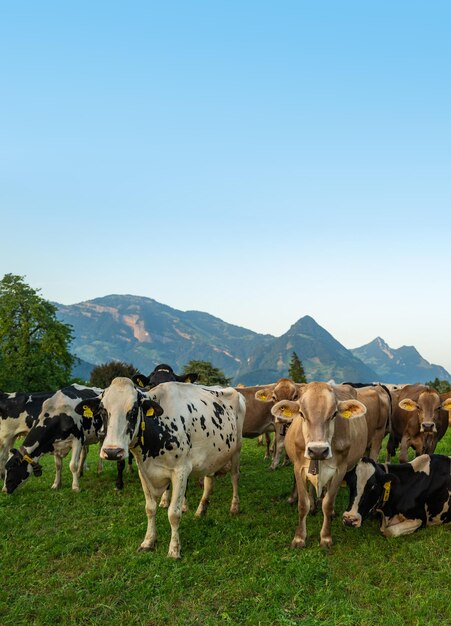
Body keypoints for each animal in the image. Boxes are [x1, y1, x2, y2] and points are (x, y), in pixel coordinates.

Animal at [270, 380, 370, 544]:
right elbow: (302, 504)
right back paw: (313, 506)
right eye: (302, 414)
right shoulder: (298, 468)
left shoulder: (340, 469)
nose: (318, 450)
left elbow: (328, 504)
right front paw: (299, 538)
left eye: (334, 414)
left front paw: (326, 537)